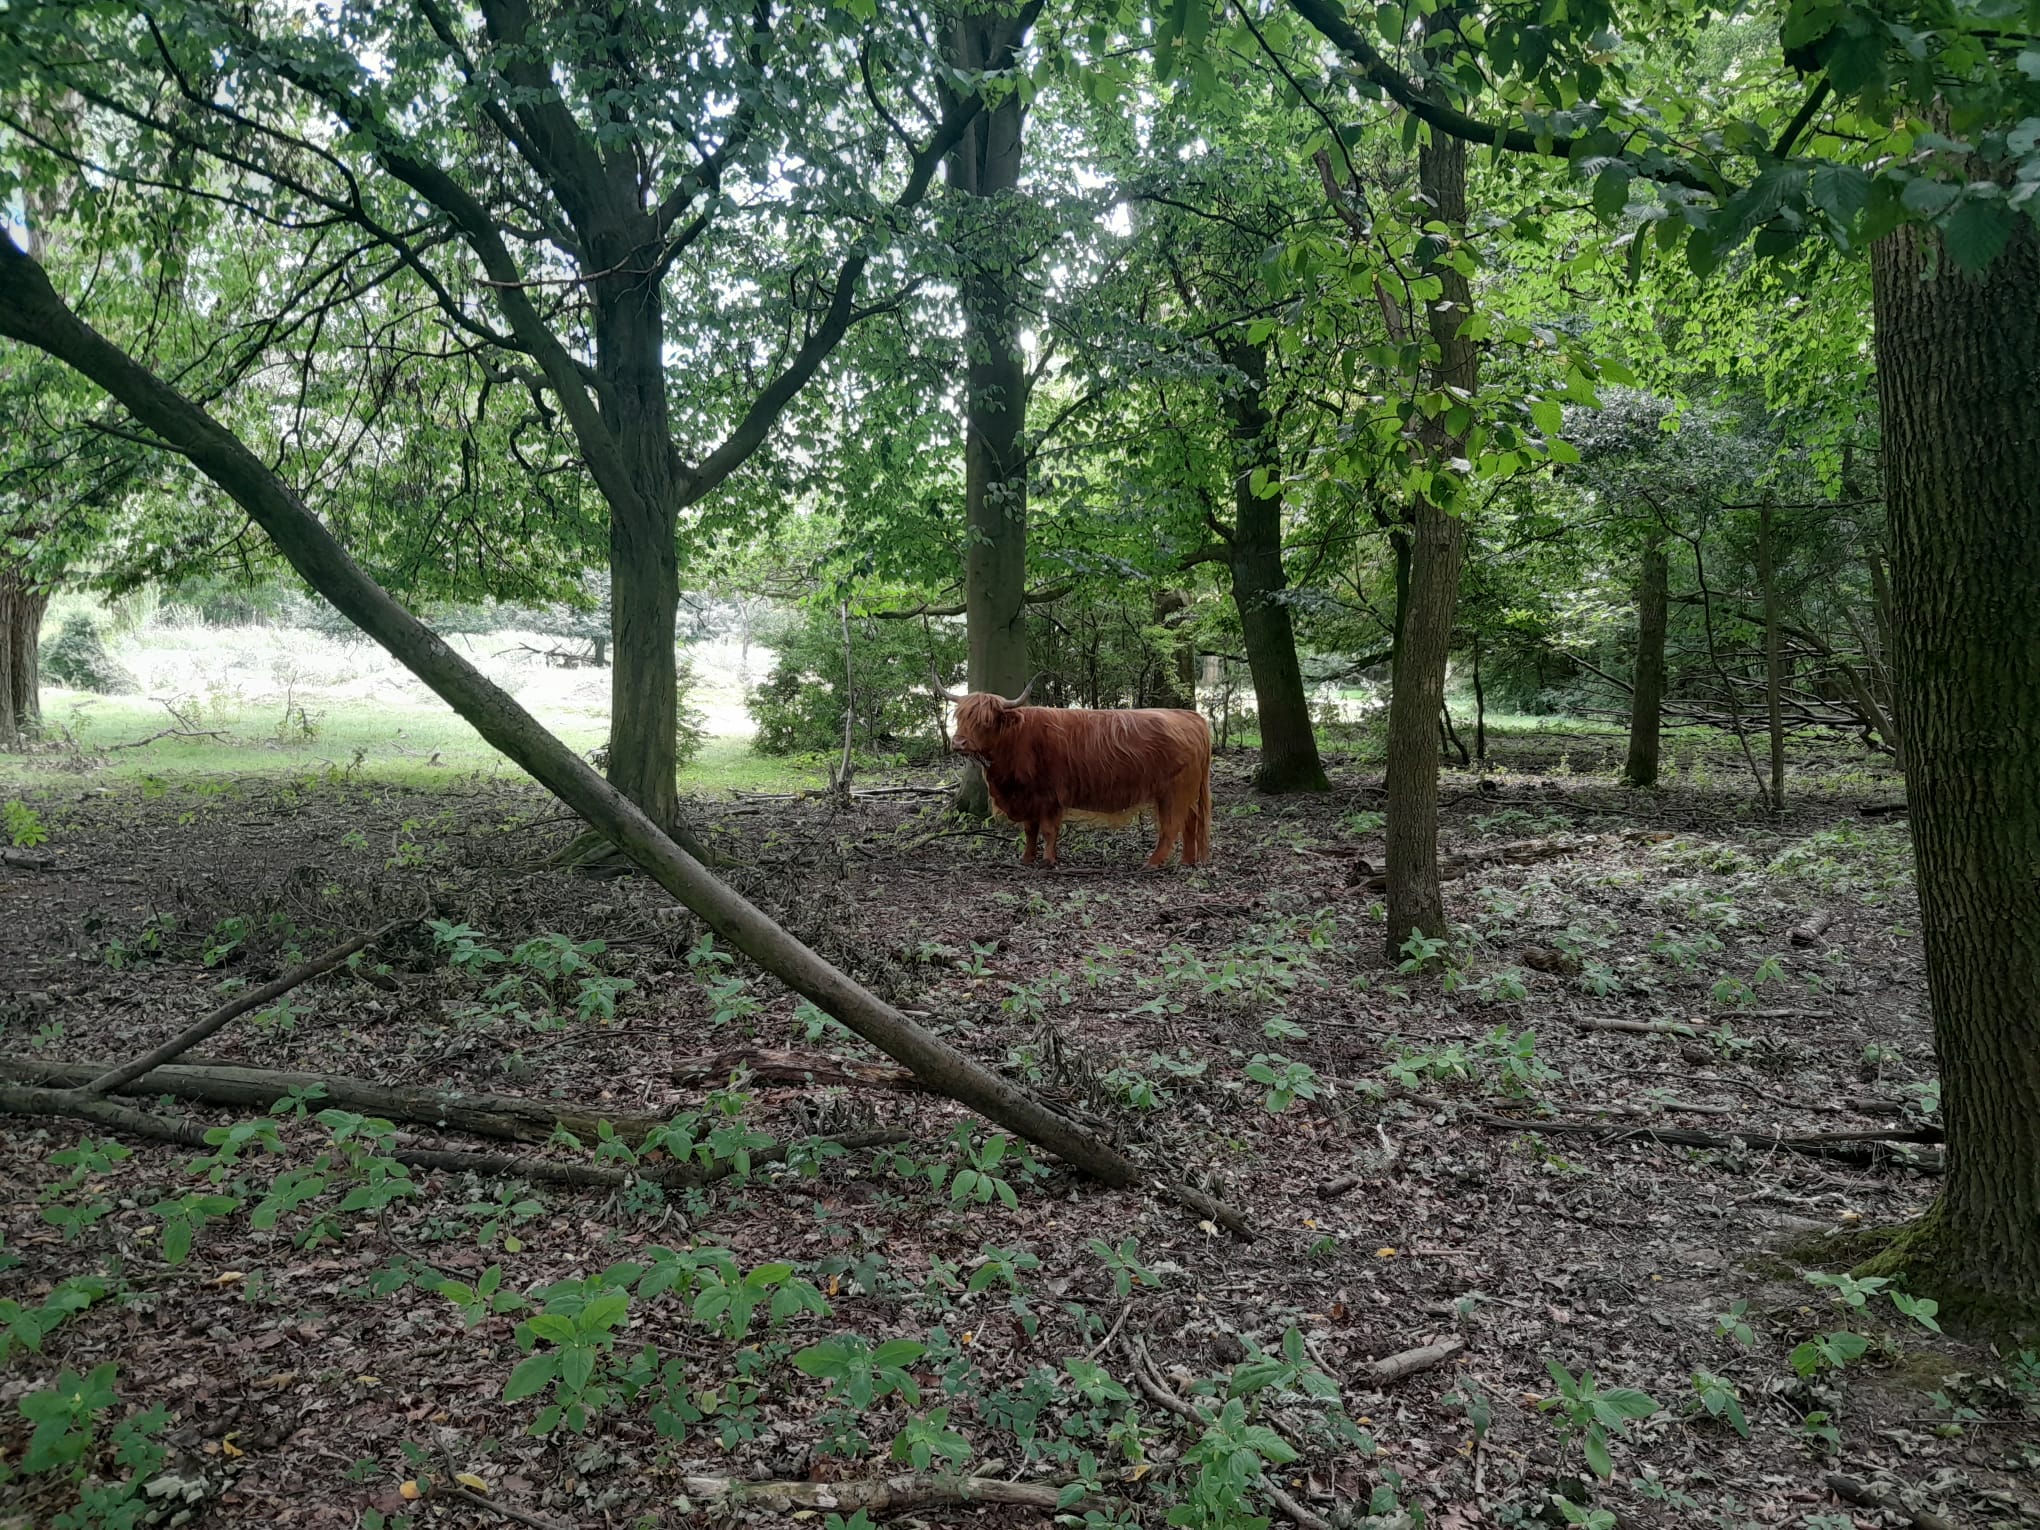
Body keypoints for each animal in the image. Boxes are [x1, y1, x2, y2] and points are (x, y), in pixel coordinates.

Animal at [938, 677, 1207, 869]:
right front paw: (1026, 858)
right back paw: (1187, 860)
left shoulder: (1048, 796)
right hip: (1183, 793)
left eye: (985, 721)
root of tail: (1189, 716)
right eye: (960, 717)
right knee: (1190, 820)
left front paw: (1048, 860)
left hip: (1173, 792)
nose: (958, 742)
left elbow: (1048, 830)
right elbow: (1030, 830)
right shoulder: (1027, 797)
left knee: (1171, 826)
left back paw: (1152, 863)